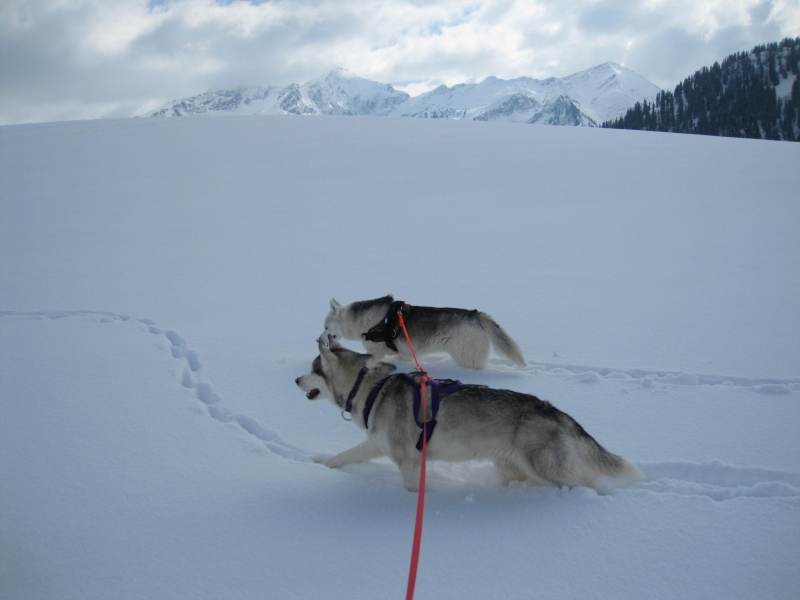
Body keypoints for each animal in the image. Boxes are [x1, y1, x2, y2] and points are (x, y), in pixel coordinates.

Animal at [296, 338, 644, 492]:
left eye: (312, 370)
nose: (296, 381)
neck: (369, 386)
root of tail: (555, 411)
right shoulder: (375, 444)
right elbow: (344, 455)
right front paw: (320, 464)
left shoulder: (409, 461)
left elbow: (412, 489)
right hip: (513, 469)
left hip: (547, 470)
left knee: (586, 483)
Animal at [322, 294, 528, 368]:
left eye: (325, 327)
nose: (318, 339)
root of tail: (476, 315)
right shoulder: (403, 352)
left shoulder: (375, 352)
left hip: (467, 357)